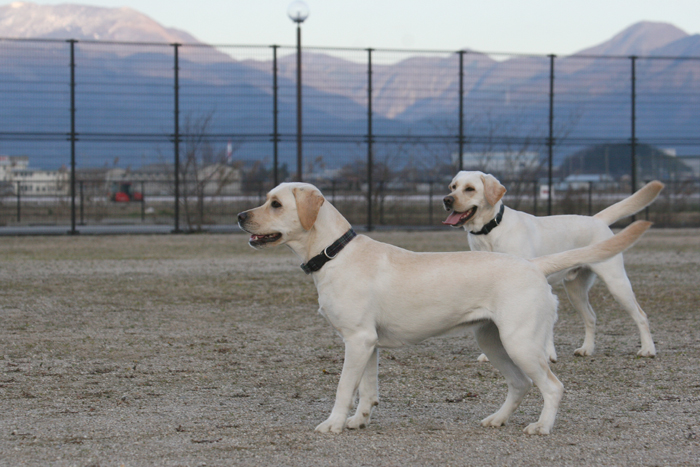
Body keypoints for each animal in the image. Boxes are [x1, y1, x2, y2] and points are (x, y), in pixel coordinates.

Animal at [442, 172, 660, 358]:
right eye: (453, 186)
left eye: (470, 189)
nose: (447, 200)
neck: (490, 231)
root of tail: (596, 219)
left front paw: (548, 354)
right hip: (575, 290)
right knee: (591, 317)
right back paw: (586, 349)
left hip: (616, 283)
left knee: (641, 315)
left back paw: (648, 350)